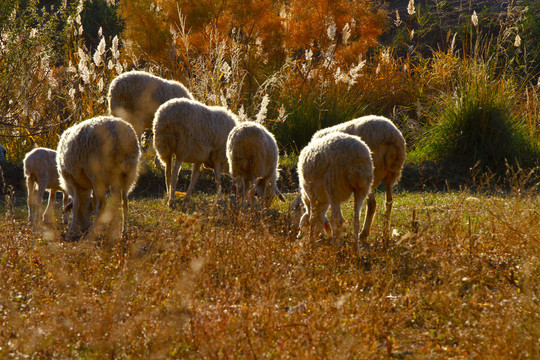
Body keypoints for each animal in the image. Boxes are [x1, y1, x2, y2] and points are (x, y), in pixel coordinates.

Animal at [294, 115, 402, 248]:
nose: (298, 236)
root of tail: (390, 136)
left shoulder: (313, 193)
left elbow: (315, 219)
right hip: (389, 175)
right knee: (387, 202)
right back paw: (382, 237)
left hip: (342, 184)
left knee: (366, 207)